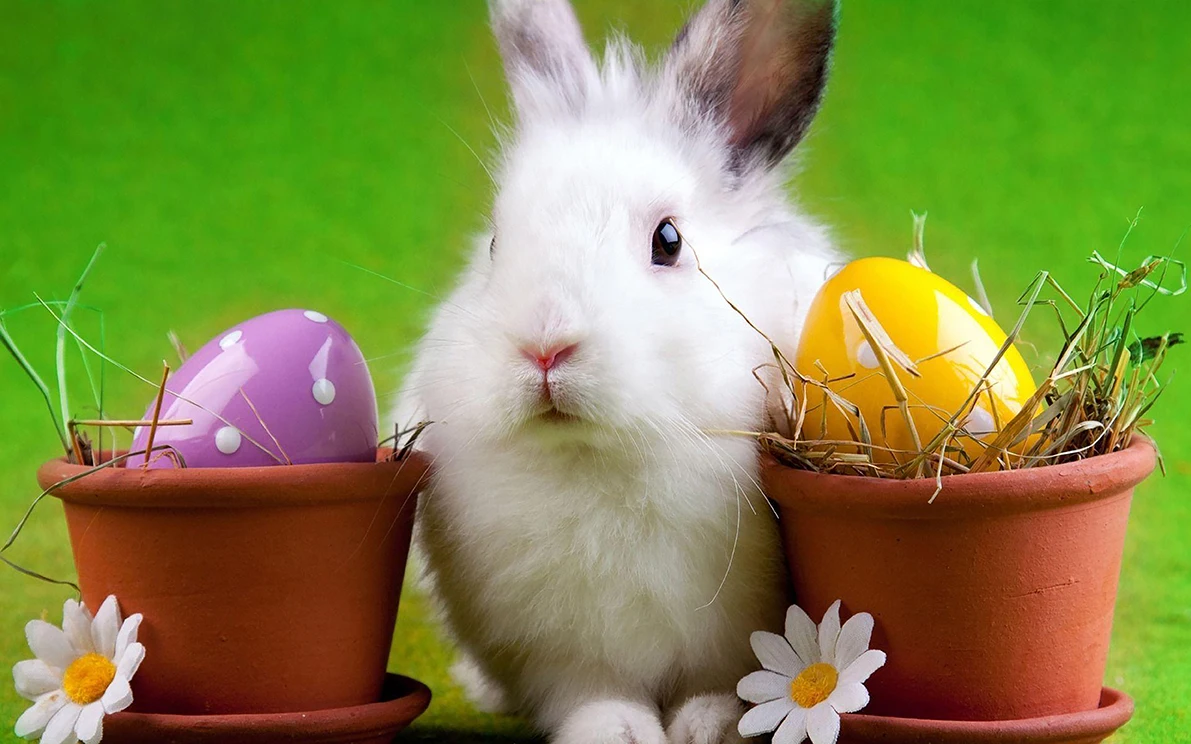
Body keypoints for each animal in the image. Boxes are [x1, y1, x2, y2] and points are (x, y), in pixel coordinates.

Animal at [397, 1, 838, 742]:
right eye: (494, 245)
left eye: (669, 240)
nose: (544, 347)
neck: (603, 455)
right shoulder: (556, 652)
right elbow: (592, 692)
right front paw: (616, 730)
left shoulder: (734, 634)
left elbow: (724, 680)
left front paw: (710, 724)